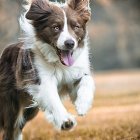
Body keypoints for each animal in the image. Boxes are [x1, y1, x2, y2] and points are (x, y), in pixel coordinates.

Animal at [0, 0, 95, 139]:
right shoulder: (41, 81)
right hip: (11, 106)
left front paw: (82, 104)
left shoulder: (74, 74)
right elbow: (53, 99)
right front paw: (66, 121)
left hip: (29, 110)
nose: (70, 43)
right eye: (56, 27)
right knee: (10, 129)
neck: (59, 63)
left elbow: (87, 80)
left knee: (17, 128)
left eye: (76, 27)